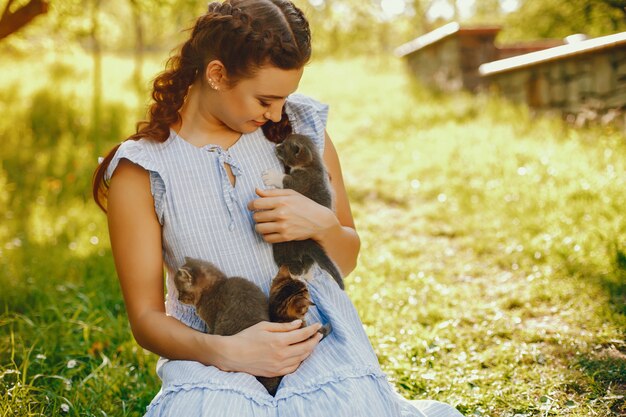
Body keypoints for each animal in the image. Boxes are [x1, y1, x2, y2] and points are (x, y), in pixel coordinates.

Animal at [260, 133, 344, 290]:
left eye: (285, 146)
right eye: (283, 141)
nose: (276, 146)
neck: (312, 164)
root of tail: (308, 242)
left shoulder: (300, 182)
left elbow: (285, 179)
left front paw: (272, 176)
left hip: (283, 247)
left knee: (292, 265)